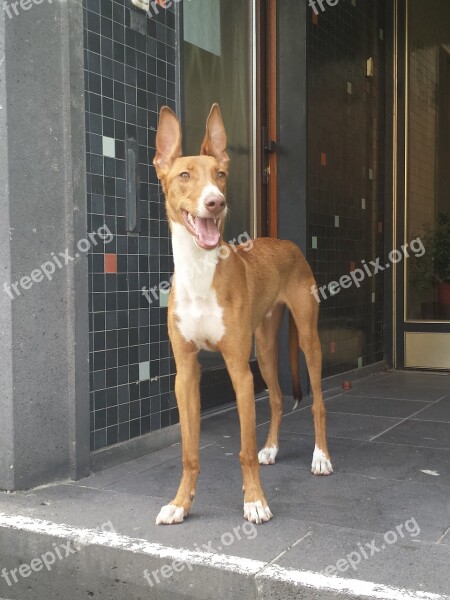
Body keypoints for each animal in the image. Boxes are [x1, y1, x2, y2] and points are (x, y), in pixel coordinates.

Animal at [153, 103, 332, 524]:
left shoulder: (239, 369)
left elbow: (244, 451)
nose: (215, 202)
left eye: (219, 175)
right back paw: (272, 448)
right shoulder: (186, 373)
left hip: (307, 339)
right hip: (264, 349)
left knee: (317, 401)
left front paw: (254, 502)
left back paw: (320, 458)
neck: (200, 273)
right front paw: (180, 503)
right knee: (280, 398)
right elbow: (189, 452)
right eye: (184, 175)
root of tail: (287, 243)